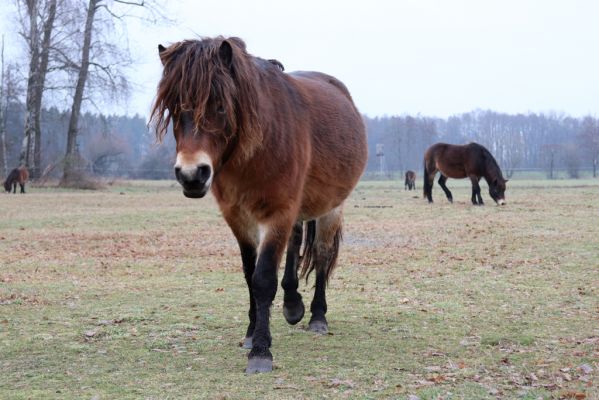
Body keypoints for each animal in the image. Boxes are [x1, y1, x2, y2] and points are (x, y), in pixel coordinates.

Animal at [150, 36, 368, 374]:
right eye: (174, 108)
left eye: (221, 106)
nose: (192, 175)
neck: (257, 150)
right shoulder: (239, 218)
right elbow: (249, 276)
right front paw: (252, 334)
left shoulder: (277, 213)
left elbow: (263, 279)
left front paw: (261, 352)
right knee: (295, 243)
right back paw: (292, 305)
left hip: (331, 209)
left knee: (321, 255)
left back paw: (317, 316)